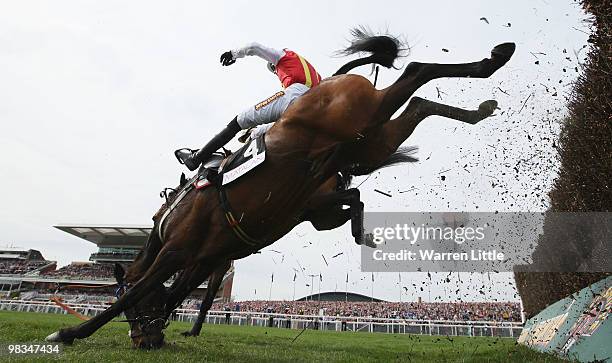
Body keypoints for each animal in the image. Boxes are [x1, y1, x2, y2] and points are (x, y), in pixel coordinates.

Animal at [47, 29, 512, 350]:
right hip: (369, 142)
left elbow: (143, 289)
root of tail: (330, 85)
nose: (145, 341)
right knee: (416, 103)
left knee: (416, 73)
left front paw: (69, 333)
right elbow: (182, 292)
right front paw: (169, 324)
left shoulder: (179, 251)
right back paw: (481, 100)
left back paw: (493, 61)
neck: (171, 213)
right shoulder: (208, 256)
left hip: (361, 123)